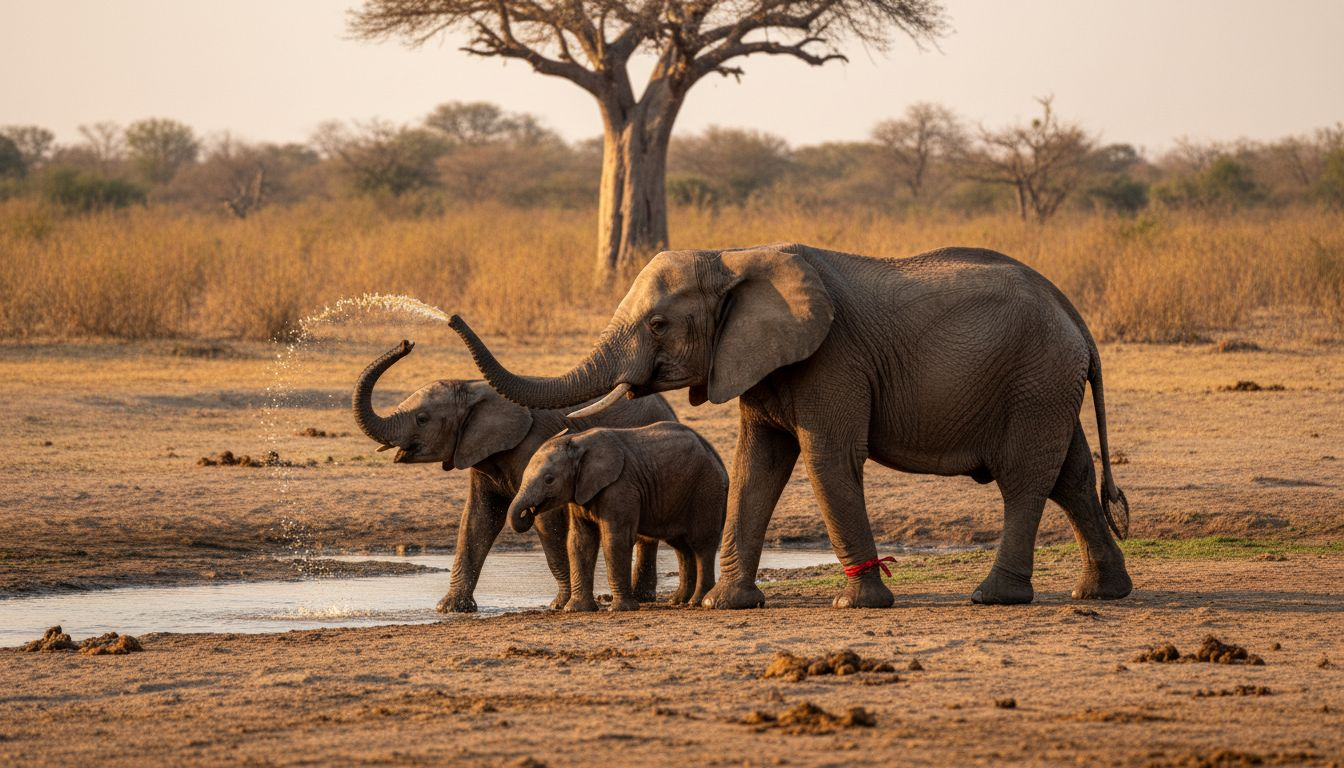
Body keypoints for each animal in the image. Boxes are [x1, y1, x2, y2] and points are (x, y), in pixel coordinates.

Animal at [351, 340, 677, 612]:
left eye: (422, 419)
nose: (407, 343)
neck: (476, 389)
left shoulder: (536, 444)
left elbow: (547, 521)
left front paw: (559, 605)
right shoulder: (480, 453)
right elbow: (478, 519)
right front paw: (451, 608)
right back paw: (643, 597)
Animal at [507, 422, 727, 612]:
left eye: (549, 480)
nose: (529, 512)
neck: (578, 441)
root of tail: (715, 455)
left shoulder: (621, 487)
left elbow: (615, 539)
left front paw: (621, 609)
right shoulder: (580, 492)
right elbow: (580, 542)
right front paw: (575, 609)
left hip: (707, 490)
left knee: (702, 544)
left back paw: (696, 601)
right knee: (681, 547)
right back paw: (678, 601)